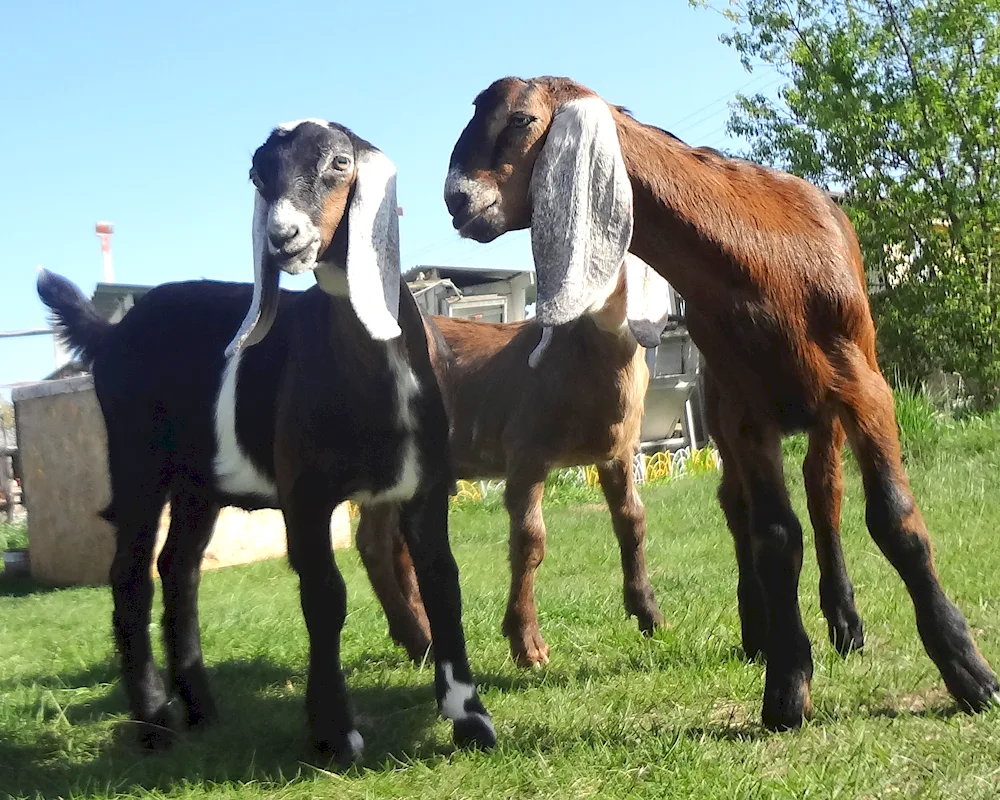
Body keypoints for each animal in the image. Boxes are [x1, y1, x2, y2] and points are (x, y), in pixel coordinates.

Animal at [37, 120, 494, 764]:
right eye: (257, 173)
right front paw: (334, 734)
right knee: (130, 576)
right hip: (137, 462)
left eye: (339, 162)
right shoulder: (305, 493)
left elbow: (442, 583)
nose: (283, 237)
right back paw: (155, 721)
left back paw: (202, 709)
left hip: (198, 484)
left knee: (179, 570)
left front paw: (469, 718)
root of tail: (112, 331)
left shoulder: (425, 487)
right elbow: (325, 596)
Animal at [356, 258, 668, 668]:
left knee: (395, 544)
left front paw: (649, 613)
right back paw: (420, 640)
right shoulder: (526, 451)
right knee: (373, 543)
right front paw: (526, 641)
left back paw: (418, 636)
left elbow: (632, 521)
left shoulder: (618, 452)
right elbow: (530, 541)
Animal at [446, 76, 1000, 732]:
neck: (765, 264)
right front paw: (786, 684)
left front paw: (969, 671)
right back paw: (758, 627)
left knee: (826, 494)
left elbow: (895, 520)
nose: (456, 198)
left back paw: (845, 621)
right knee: (738, 508)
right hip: (720, 412)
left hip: (825, 412)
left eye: (523, 119)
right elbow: (775, 537)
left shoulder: (863, 390)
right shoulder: (742, 413)